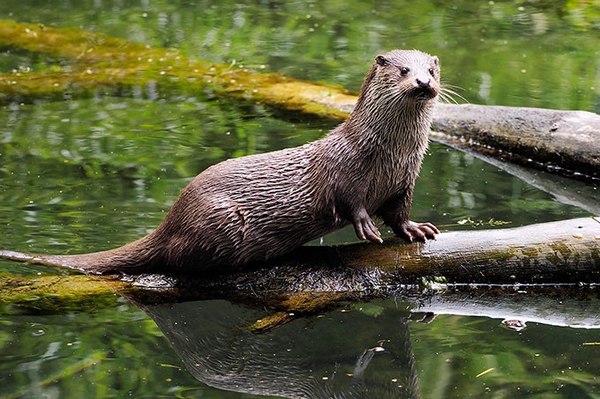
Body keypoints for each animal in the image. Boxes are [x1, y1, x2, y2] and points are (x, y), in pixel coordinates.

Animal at [0, 49, 440, 276]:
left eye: (431, 70)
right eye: (404, 69)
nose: (423, 83)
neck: (387, 153)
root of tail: (172, 218)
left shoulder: (406, 178)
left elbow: (398, 212)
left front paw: (416, 229)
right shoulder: (343, 168)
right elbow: (351, 202)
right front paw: (366, 227)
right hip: (219, 218)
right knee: (178, 260)